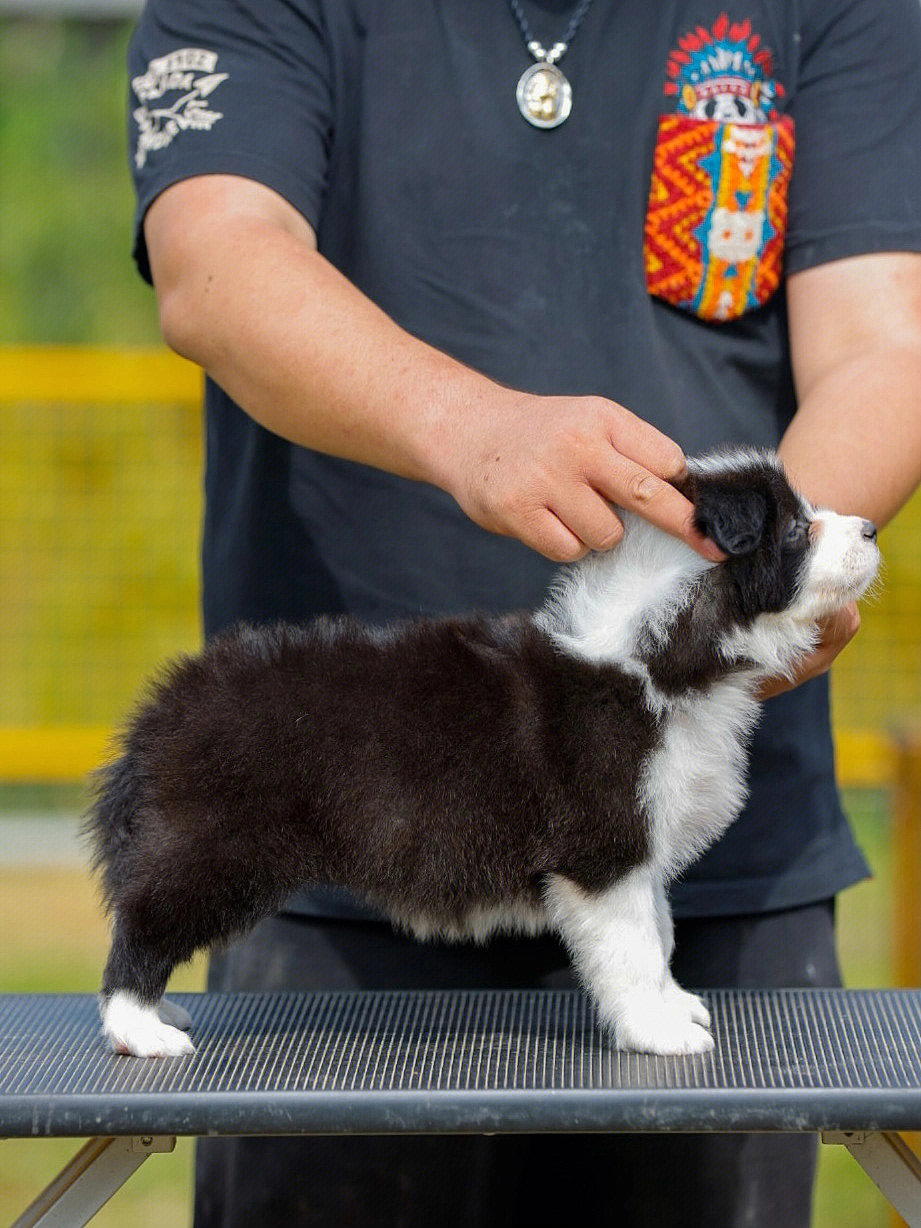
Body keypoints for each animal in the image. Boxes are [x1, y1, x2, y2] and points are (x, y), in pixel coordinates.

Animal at [86, 449, 879, 1056]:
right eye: (796, 529)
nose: (872, 527)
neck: (656, 658)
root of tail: (161, 711)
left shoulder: (641, 845)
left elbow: (661, 932)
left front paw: (675, 1003)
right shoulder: (603, 853)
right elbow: (634, 949)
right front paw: (661, 1033)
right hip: (214, 846)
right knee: (143, 928)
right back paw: (142, 1028)